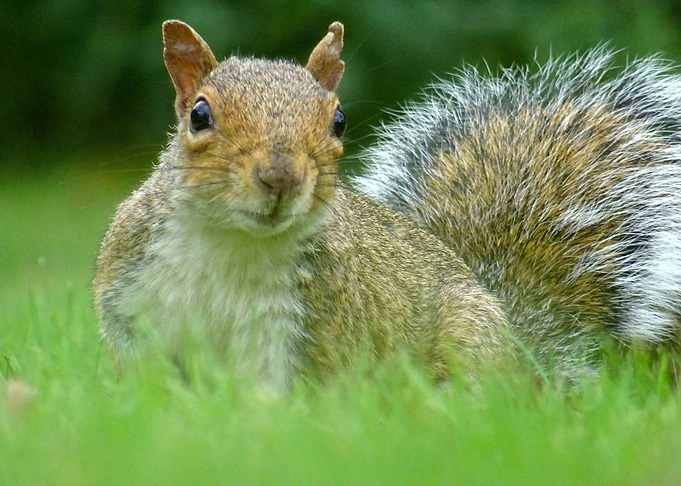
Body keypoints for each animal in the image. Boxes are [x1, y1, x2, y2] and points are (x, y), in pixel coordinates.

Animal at [94, 20, 681, 389]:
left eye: (338, 121)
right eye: (198, 115)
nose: (280, 177)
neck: (235, 243)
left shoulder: (299, 333)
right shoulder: (131, 305)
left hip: (469, 340)